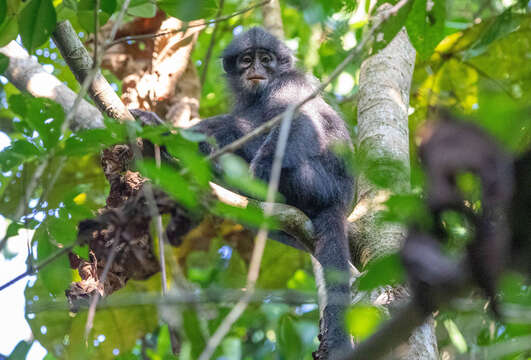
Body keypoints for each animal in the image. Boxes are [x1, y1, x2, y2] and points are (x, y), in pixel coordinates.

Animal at [131, 28, 356, 358]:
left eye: (266, 58)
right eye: (247, 59)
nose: (257, 69)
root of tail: (342, 200)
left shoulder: (292, 82)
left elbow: (298, 116)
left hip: (315, 181)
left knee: (247, 127)